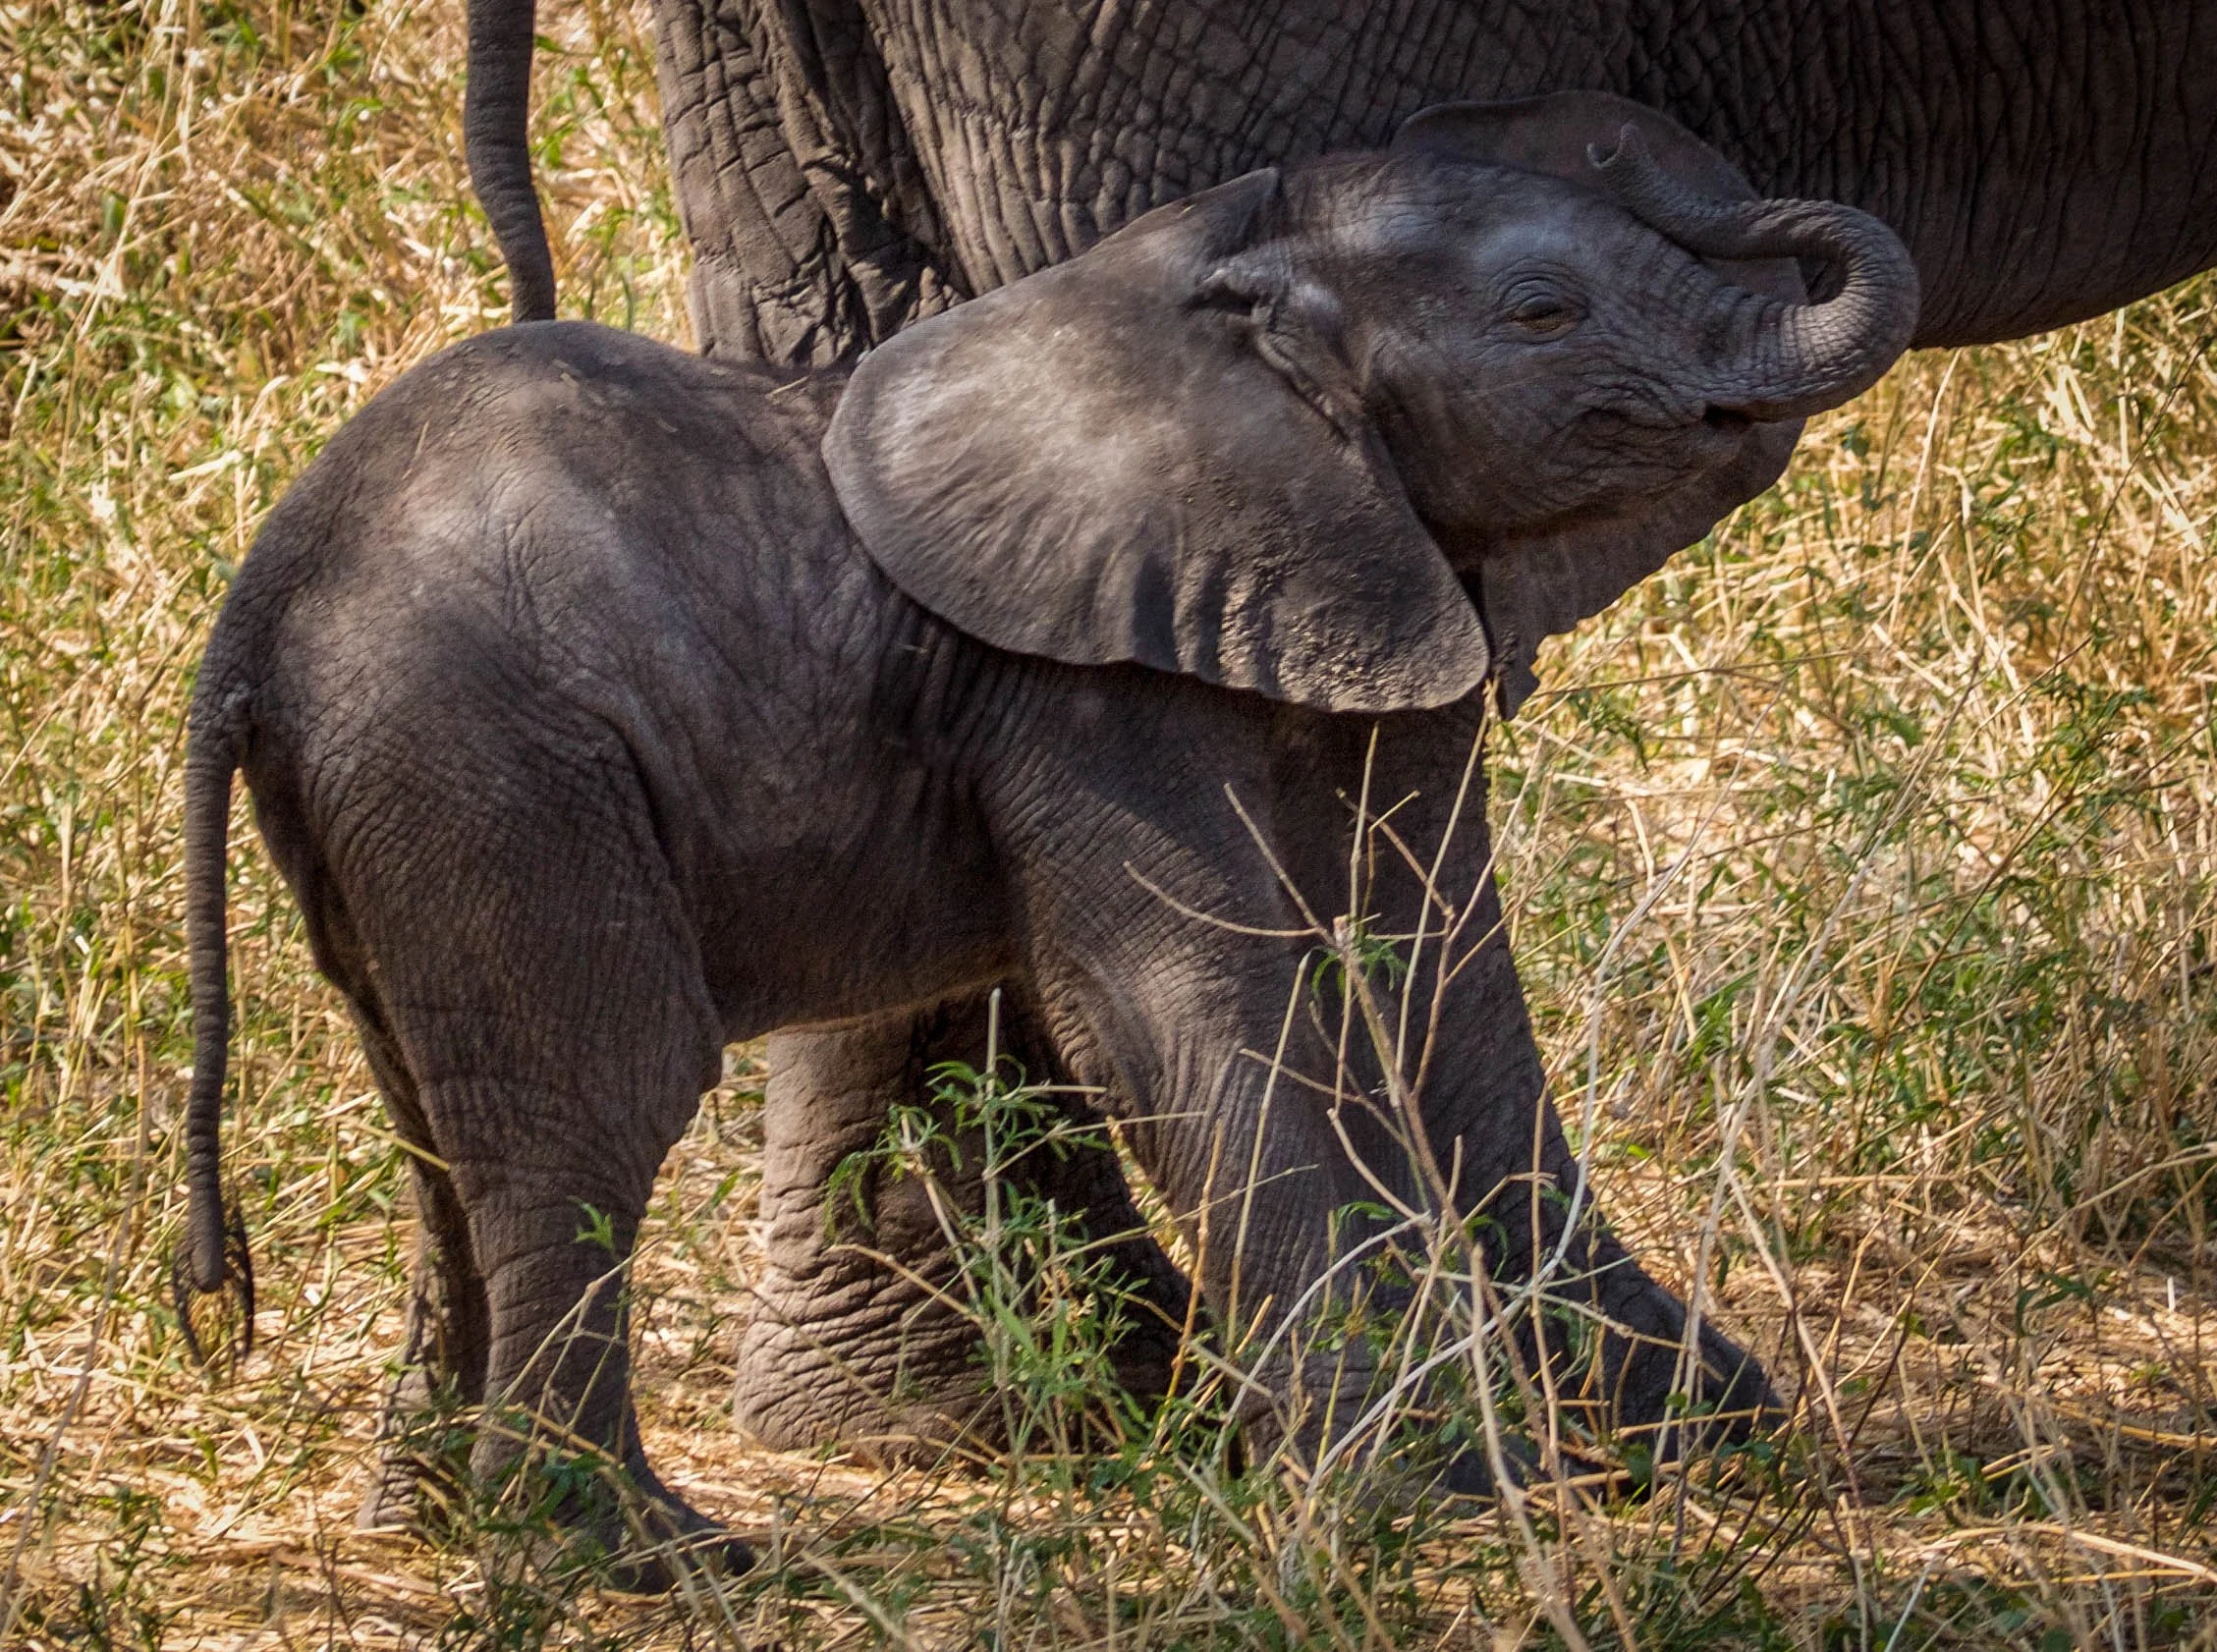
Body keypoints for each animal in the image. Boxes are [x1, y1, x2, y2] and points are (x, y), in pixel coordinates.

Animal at [176, 107, 1917, 1579]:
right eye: (1546, 314)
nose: (1685, 157)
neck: (1223, 306)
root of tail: (255, 610)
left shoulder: (1372, 577)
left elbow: (1437, 985)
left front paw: (1675, 1432)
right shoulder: (1087, 693)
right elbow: (1177, 1003)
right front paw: (1428, 1484)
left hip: (402, 786)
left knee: (438, 1126)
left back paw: (428, 1519)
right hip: (495, 762)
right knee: (589, 1107)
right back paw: (633, 1556)